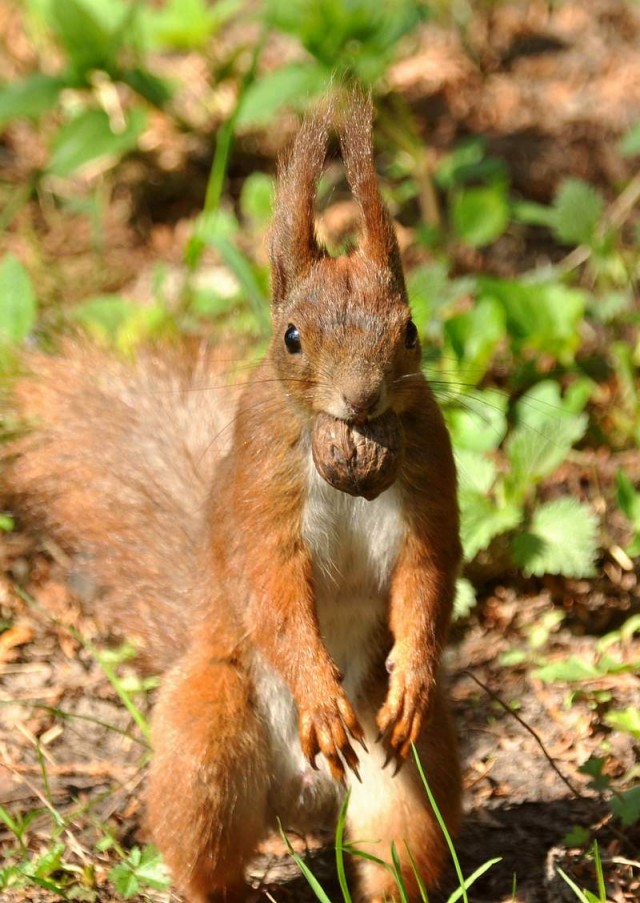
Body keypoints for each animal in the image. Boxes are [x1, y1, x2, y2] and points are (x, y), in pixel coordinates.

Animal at [7, 93, 462, 903]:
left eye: (410, 331)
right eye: (292, 337)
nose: (361, 399)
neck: (344, 451)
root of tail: (303, 802)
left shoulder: (429, 473)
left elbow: (427, 574)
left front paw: (413, 673)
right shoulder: (261, 481)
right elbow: (271, 586)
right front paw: (318, 693)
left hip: (410, 775)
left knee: (401, 837)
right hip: (208, 745)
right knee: (205, 848)